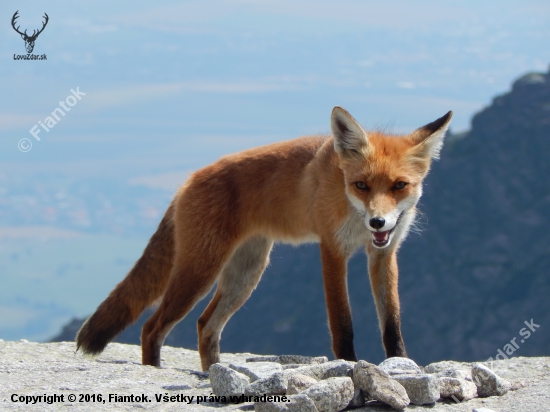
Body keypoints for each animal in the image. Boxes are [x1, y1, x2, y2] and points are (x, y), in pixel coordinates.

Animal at [76, 105, 452, 370]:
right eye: (361, 185)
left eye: (399, 186)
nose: (377, 221)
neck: (354, 214)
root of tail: (188, 179)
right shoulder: (332, 250)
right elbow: (342, 323)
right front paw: (349, 366)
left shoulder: (384, 255)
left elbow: (392, 323)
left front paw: (402, 363)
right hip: (200, 272)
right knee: (152, 328)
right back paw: (156, 371)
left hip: (245, 275)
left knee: (205, 326)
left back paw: (212, 374)